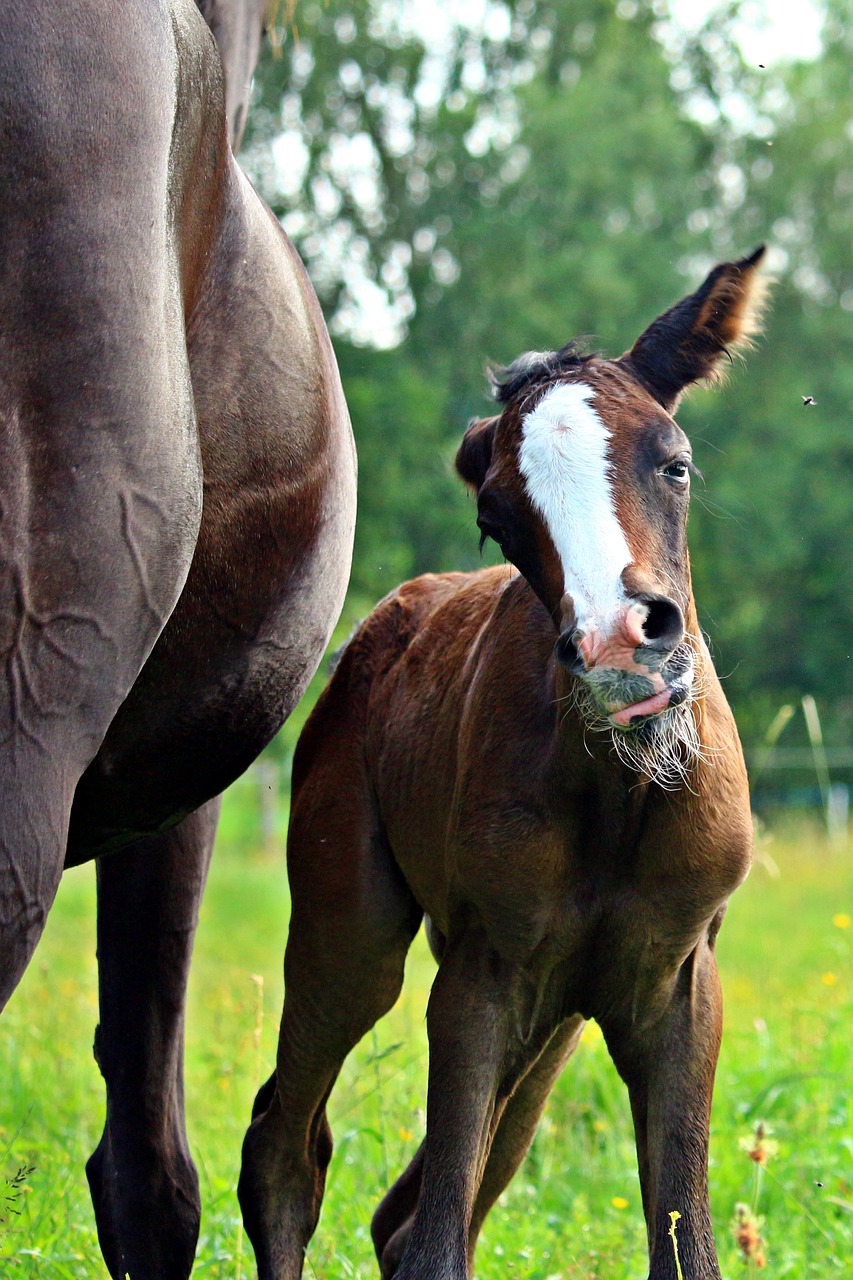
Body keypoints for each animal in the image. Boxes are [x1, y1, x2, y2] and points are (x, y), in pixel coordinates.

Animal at [236, 249, 763, 1280]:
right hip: (355, 936)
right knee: (284, 1151)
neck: (622, 790)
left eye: (674, 464)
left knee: (402, 1208)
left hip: (557, 1015)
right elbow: (436, 1243)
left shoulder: (678, 981)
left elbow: (683, 1245)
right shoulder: (482, 977)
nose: (618, 649)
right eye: (499, 519)